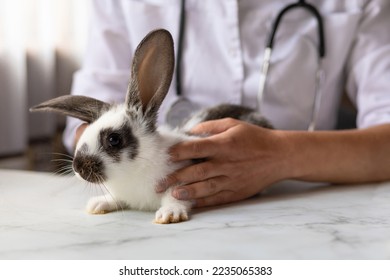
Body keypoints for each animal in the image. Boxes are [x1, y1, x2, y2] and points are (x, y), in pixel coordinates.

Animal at [30, 28, 272, 224]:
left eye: (114, 139)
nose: (78, 167)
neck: (133, 170)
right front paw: (98, 204)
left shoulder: (181, 180)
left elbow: (175, 196)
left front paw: (169, 215)